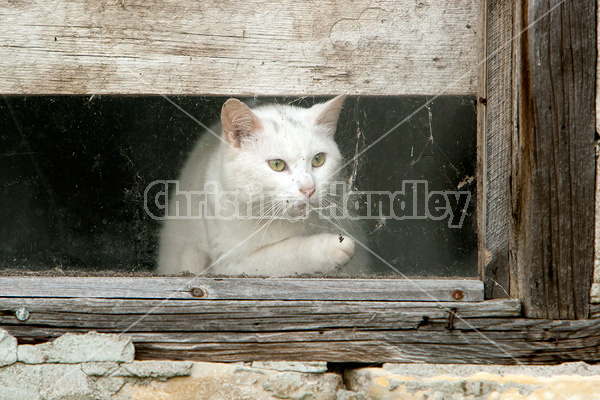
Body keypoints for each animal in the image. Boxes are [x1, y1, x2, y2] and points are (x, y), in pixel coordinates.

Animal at [157, 96, 368, 276]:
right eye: (277, 164)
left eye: (318, 160)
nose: (308, 189)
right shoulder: (231, 264)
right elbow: (286, 254)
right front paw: (331, 247)